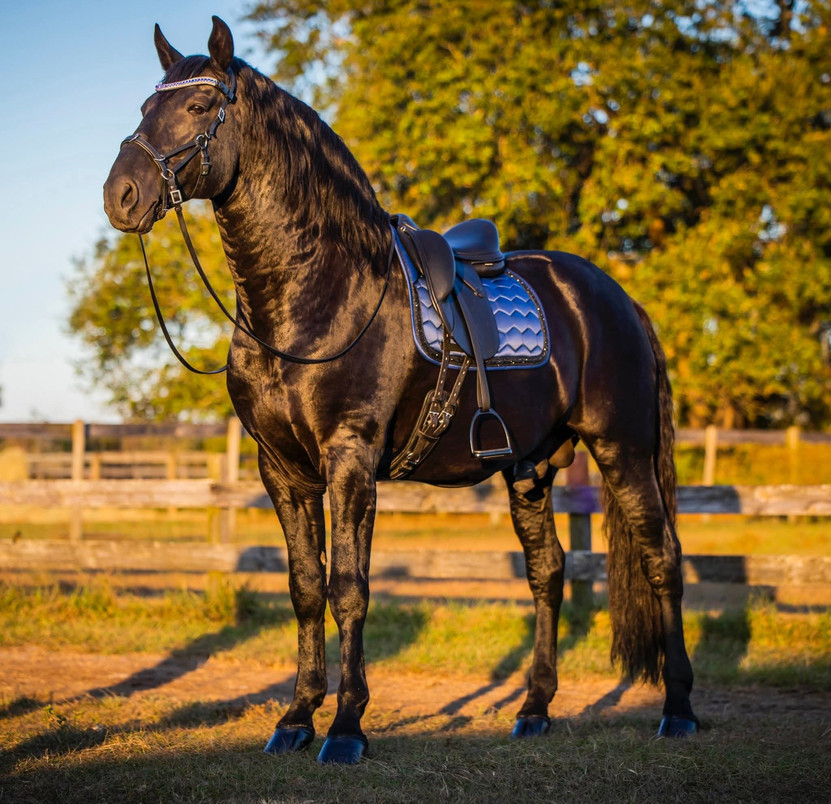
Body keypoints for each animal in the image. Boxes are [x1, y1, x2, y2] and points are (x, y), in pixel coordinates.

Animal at [103, 16, 699, 764]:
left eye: (202, 104)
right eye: (142, 107)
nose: (120, 195)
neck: (321, 295)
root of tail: (612, 296)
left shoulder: (351, 459)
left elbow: (349, 589)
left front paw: (346, 727)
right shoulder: (283, 470)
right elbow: (305, 587)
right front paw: (296, 717)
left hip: (622, 450)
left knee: (662, 560)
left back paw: (677, 709)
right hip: (530, 468)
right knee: (548, 571)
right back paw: (534, 708)